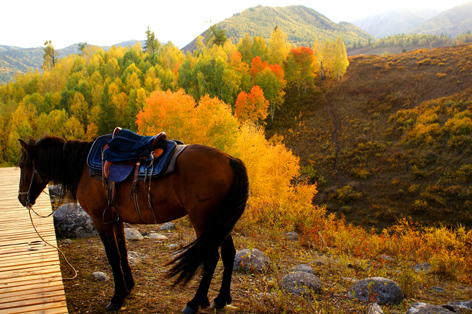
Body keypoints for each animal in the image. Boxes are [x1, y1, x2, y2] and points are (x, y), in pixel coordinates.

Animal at [16, 135, 249, 314]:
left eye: (22, 165)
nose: (21, 198)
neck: (82, 168)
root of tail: (230, 160)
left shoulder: (99, 220)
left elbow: (112, 256)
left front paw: (117, 297)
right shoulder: (115, 219)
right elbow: (123, 252)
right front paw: (128, 287)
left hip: (204, 221)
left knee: (211, 258)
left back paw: (194, 302)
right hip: (221, 223)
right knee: (229, 254)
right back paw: (220, 300)